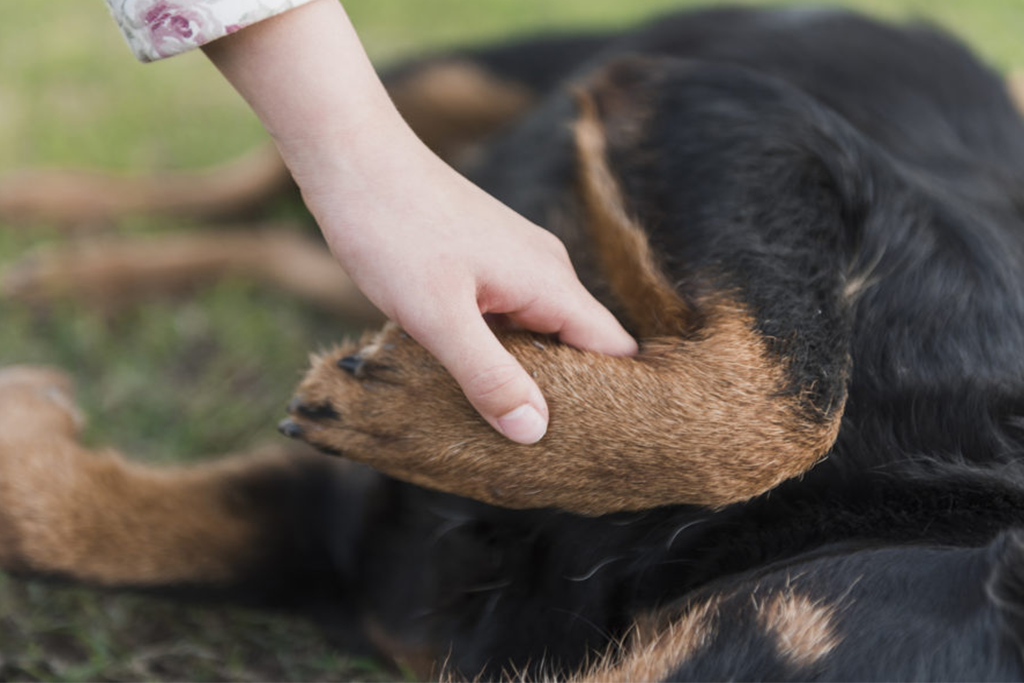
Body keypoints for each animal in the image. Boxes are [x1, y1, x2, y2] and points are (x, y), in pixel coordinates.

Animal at [2, 6, 1024, 683]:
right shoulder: (727, 116)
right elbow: (792, 397)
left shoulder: (357, 555)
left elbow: (60, 519)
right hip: (486, 74)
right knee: (244, 178)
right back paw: (45, 216)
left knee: (283, 243)